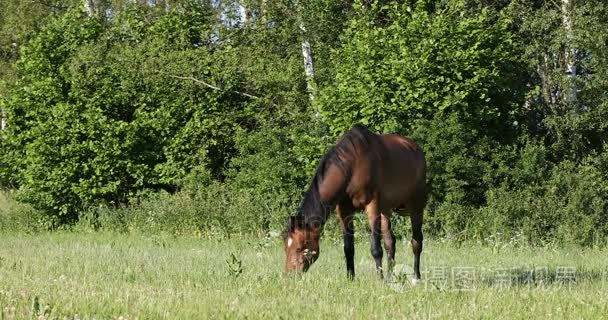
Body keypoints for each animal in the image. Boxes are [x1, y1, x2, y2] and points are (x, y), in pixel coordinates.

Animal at [284, 124, 428, 282]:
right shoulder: (344, 211)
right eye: (285, 247)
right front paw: (350, 278)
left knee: (416, 241)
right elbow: (348, 248)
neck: (352, 167)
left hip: (416, 207)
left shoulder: (372, 206)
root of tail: (416, 148)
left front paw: (380, 279)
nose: (289, 275)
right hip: (385, 210)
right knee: (390, 243)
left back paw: (416, 277)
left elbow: (376, 248)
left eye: (299, 248)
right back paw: (391, 277)